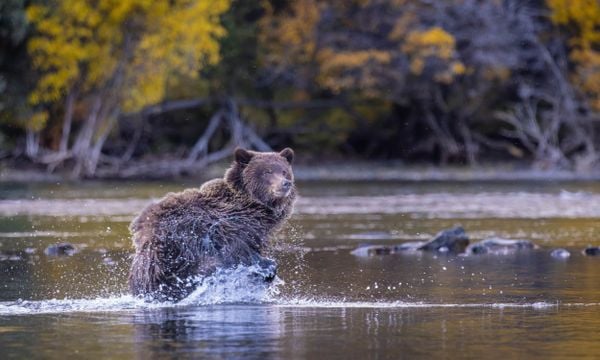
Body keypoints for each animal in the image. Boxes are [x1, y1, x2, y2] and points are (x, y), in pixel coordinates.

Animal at [127, 146, 296, 300]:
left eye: (284, 171)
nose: (285, 183)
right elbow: (237, 252)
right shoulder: (225, 227)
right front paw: (266, 269)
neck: (252, 207)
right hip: (168, 250)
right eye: (267, 171)